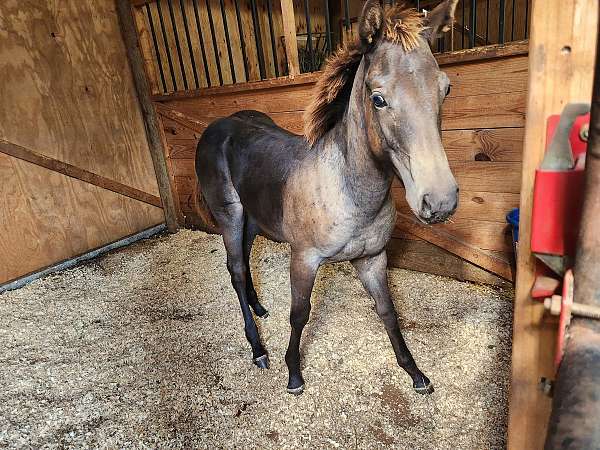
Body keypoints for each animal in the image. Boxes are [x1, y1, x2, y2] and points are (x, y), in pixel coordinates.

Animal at [197, 0, 460, 394]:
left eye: (445, 89)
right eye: (378, 98)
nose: (440, 201)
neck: (351, 193)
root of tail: (217, 126)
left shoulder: (372, 259)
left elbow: (388, 312)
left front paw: (415, 373)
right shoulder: (304, 259)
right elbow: (299, 314)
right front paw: (293, 373)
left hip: (255, 219)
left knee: (243, 260)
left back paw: (259, 309)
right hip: (229, 214)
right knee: (237, 270)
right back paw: (258, 349)